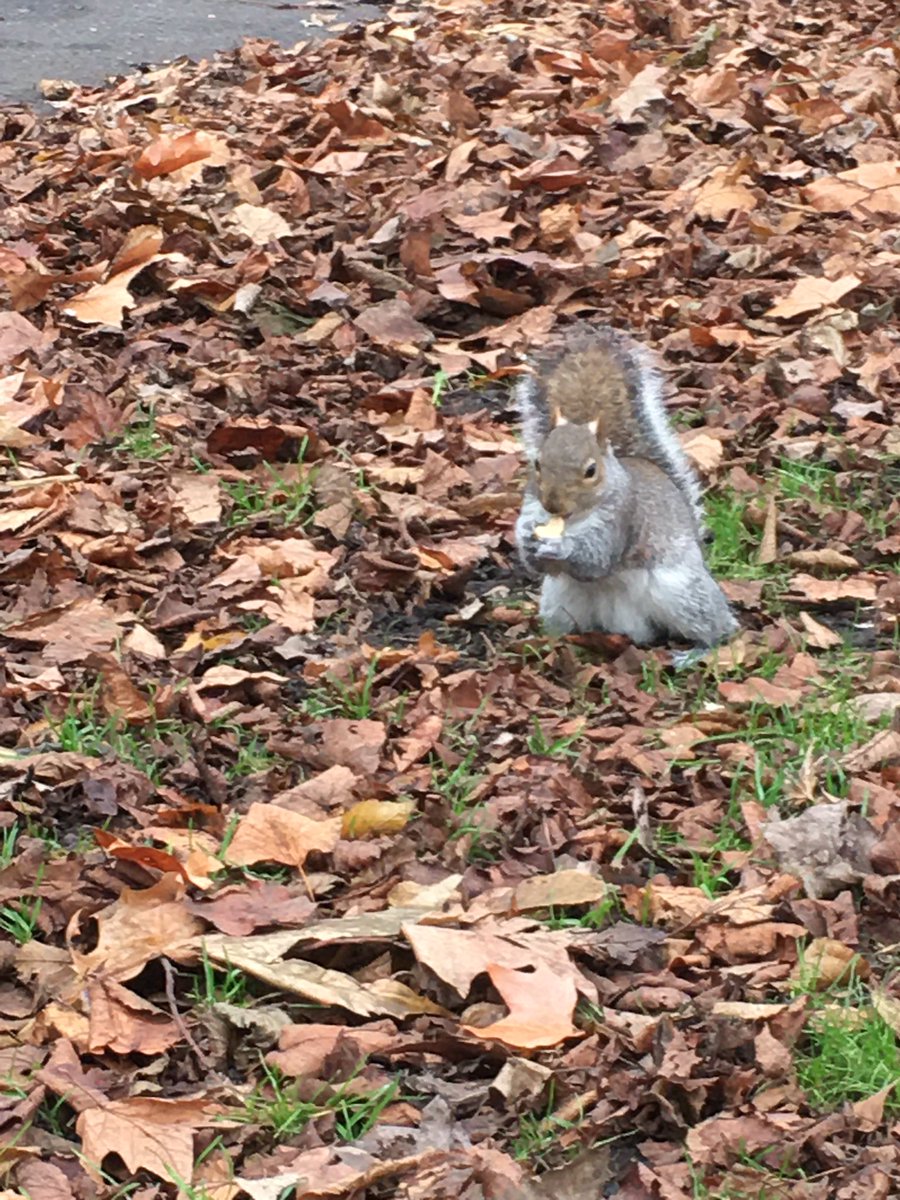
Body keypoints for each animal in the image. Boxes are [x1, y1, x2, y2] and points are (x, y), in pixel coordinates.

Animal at [514, 322, 737, 647]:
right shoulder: (532, 507)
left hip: (684, 593)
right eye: (538, 464)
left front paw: (561, 547)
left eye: (591, 471)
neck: (573, 519)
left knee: (716, 626)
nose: (552, 505)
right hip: (559, 602)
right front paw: (526, 540)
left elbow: (596, 559)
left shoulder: (623, 518)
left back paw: (699, 648)